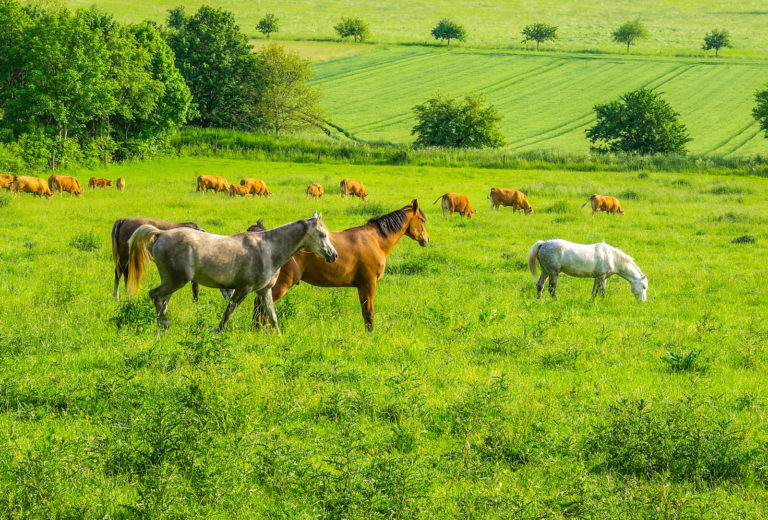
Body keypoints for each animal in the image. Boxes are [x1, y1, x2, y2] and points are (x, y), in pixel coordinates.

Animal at [127, 212, 338, 332]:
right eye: (322, 234)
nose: (333, 255)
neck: (267, 249)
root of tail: (161, 234)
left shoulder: (265, 291)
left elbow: (273, 317)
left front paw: (278, 338)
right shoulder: (243, 289)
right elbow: (228, 313)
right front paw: (217, 333)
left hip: (171, 281)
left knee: (162, 301)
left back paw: (162, 327)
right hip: (176, 281)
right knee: (155, 295)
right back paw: (164, 324)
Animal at [255, 201, 428, 332]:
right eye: (422, 220)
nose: (426, 239)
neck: (375, 240)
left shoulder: (362, 286)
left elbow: (365, 312)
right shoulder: (369, 284)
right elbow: (369, 313)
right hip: (280, 285)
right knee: (262, 307)